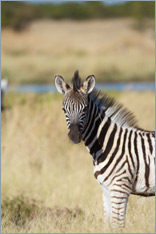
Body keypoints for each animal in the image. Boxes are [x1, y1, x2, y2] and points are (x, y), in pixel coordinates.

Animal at [54, 71, 155, 229]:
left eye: (84, 109)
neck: (110, 144)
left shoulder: (120, 189)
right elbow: (107, 224)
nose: (74, 136)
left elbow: (118, 225)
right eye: (64, 109)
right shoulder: (106, 190)